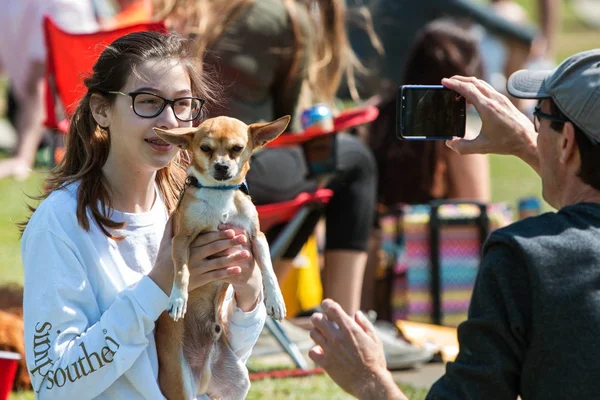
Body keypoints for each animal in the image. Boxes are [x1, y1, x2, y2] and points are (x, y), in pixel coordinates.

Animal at [152, 114, 288, 398]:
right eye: (205, 148)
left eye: (237, 148)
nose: (222, 167)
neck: (220, 194)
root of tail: (204, 375)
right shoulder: (180, 241)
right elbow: (182, 271)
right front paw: (178, 299)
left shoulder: (257, 238)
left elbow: (268, 270)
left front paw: (275, 300)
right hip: (181, 386)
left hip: (237, 384)